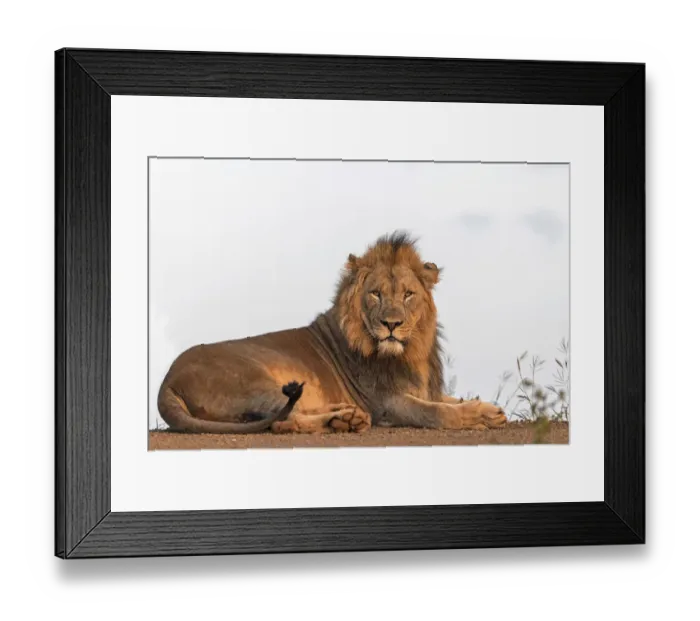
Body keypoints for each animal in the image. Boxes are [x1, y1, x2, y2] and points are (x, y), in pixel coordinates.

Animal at [158, 232, 507, 434]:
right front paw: (476, 415)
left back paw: (347, 416)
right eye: (376, 294)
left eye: (408, 295)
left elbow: (449, 400)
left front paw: (490, 410)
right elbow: (437, 412)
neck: (411, 352)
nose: (391, 324)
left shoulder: (421, 390)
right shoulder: (385, 403)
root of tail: (167, 381)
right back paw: (344, 421)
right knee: (283, 418)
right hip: (253, 380)